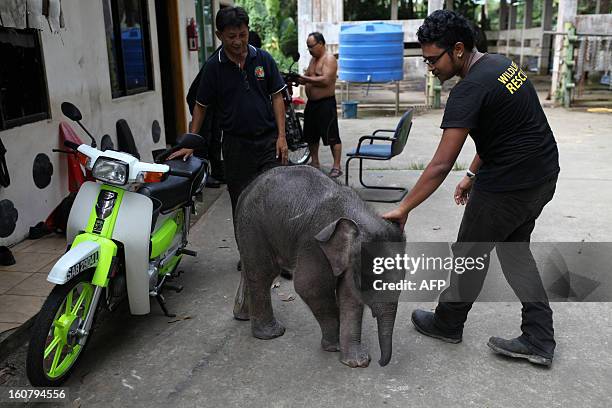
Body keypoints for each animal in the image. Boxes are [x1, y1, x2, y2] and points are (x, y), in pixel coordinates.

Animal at [234, 164, 406, 368]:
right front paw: (335, 347)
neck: (356, 219)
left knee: (250, 269)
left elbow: (350, 297)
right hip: (254, 226)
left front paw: (356, 362)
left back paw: (242, 316)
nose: (379, 362)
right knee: (263, 273)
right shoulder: (314, 243)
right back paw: (272, 333)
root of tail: (247, 189)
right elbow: (310, 288)